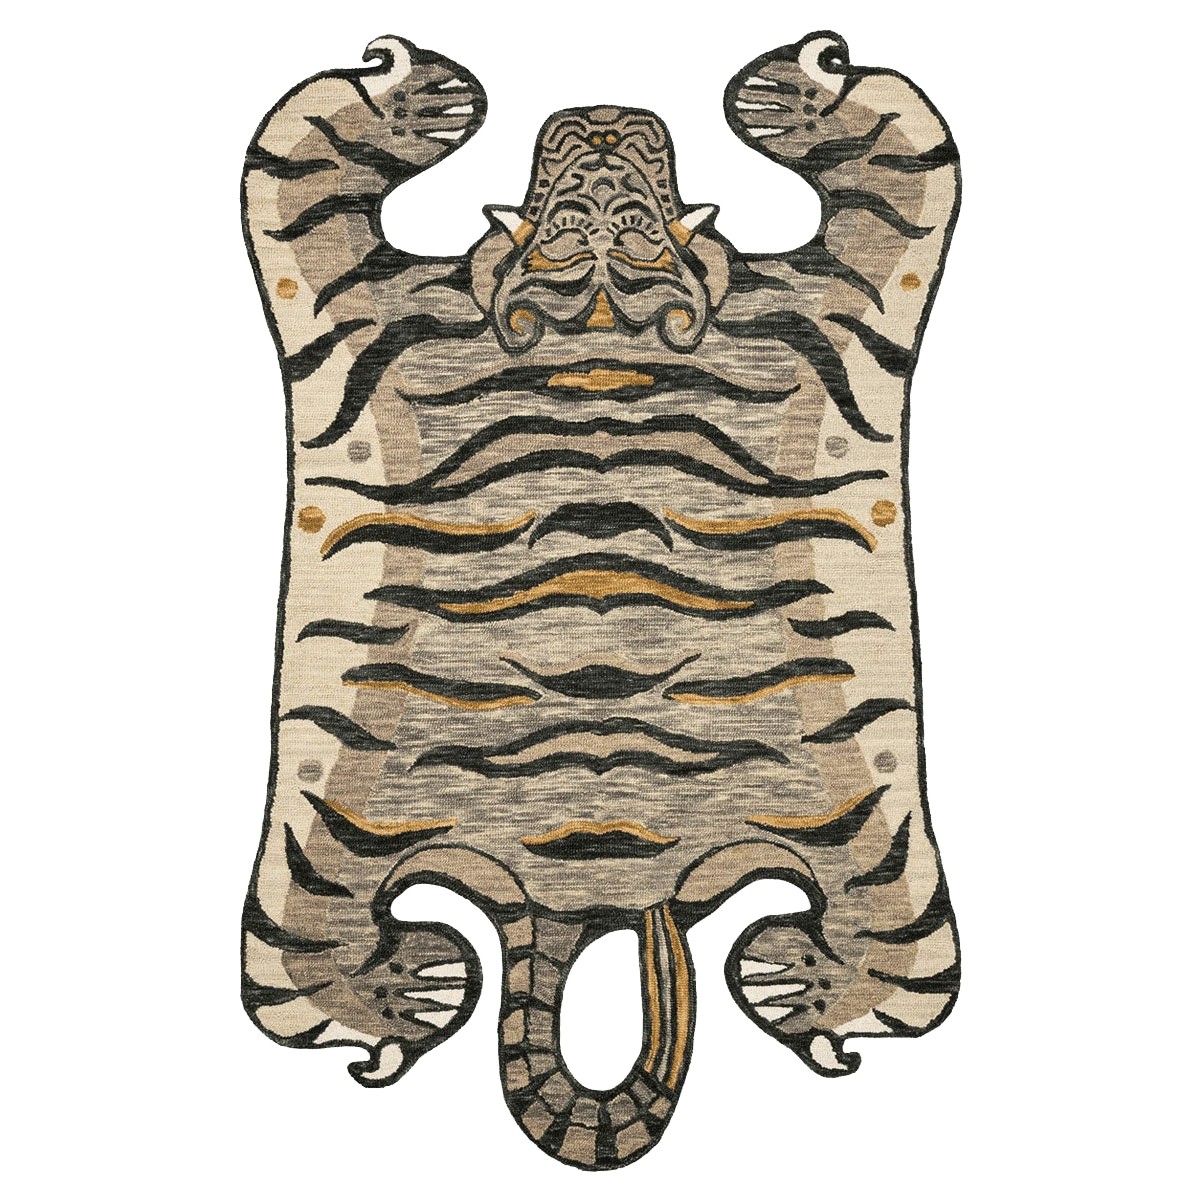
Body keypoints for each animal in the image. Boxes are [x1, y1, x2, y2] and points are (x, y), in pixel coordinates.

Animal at [241, 30, 962, 1171]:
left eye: (634, 204)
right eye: (568, 199)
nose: (608, 115)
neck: (599, 320)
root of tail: (595, 903)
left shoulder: (844, 301)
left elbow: (903, 157)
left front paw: (797, 92)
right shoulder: (349, 302)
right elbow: (299, 160)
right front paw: (416, 98)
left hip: (882, 842)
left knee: (895, 949)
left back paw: (805, 982)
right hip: (318, 844)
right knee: (304, 960)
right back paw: (403, 992)